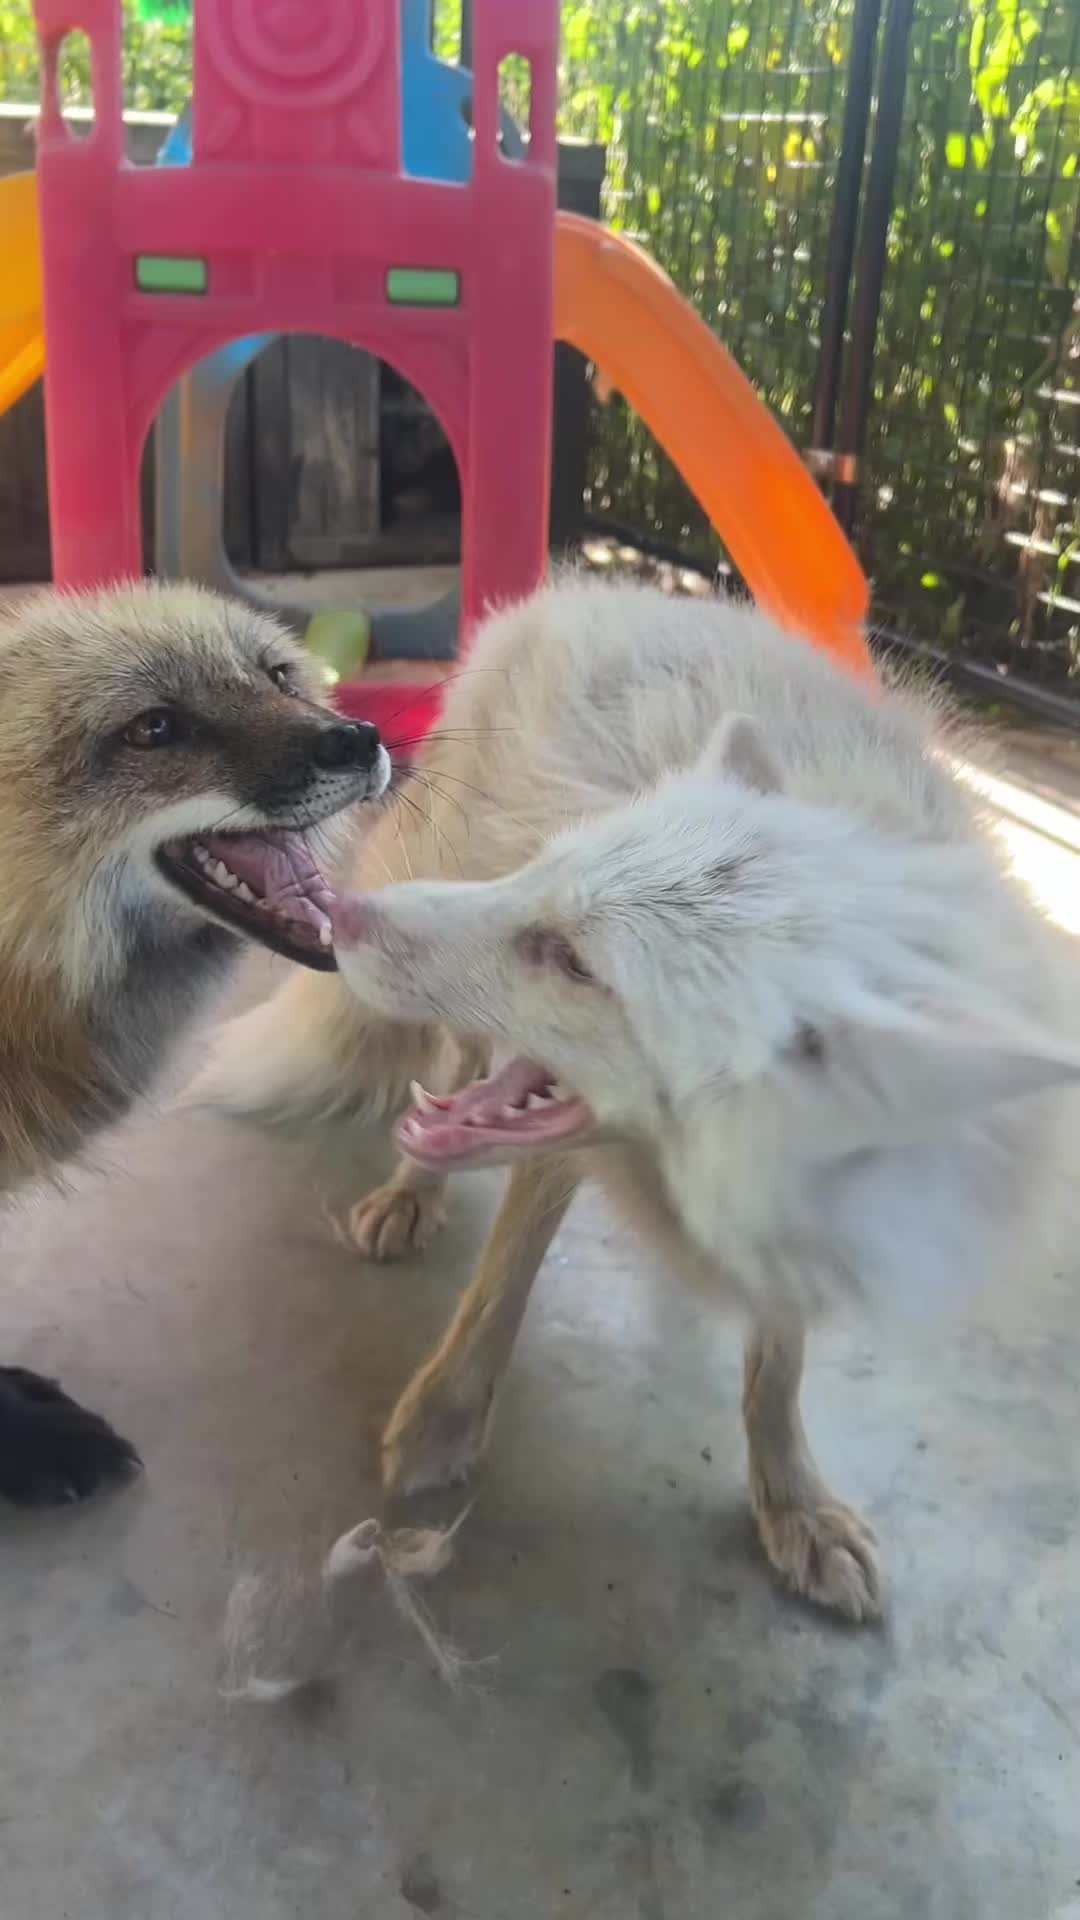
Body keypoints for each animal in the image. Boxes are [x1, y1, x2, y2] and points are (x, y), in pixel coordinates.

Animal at [191, 576, 1080, 1621]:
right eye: (546, 874)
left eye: (578, 962)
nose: (340, 917)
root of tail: (603, 589)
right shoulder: (559, 1143)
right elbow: (501, 1287)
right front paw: (444, 1424)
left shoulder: (804, 1223)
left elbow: (776, 1372)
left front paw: (793, 1501)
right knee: (451, 1072)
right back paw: (410, 1193)